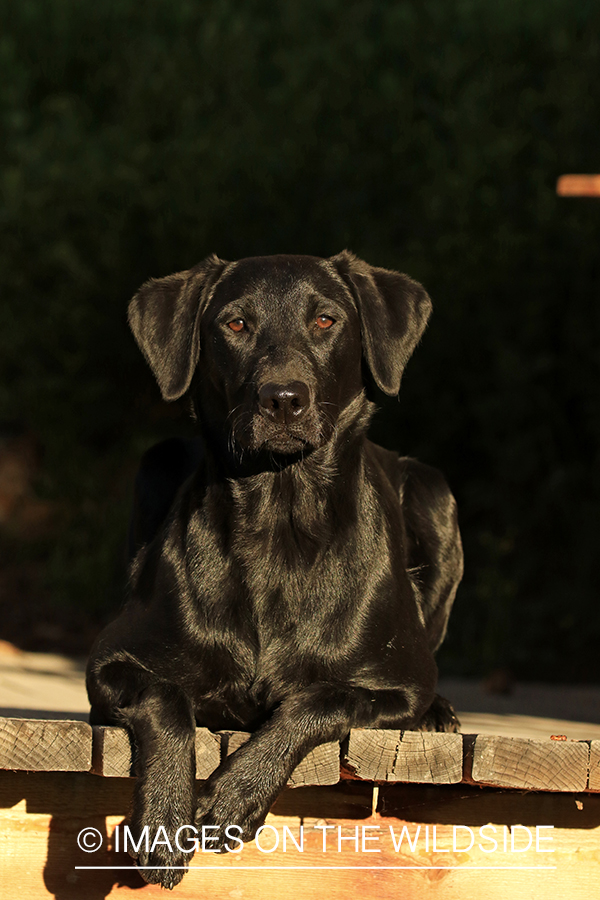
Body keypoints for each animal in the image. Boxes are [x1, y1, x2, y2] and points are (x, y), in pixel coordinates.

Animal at [86, 250, 462, 888]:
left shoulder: (399, 683)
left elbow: (319, 699)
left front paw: (235, 793)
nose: (283, 398)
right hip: (157, 461)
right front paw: (165, 815)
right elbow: (166, 697)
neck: (278, 527)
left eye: (326, 320)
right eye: (235, 324)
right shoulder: (110, 658)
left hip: (436, 494)